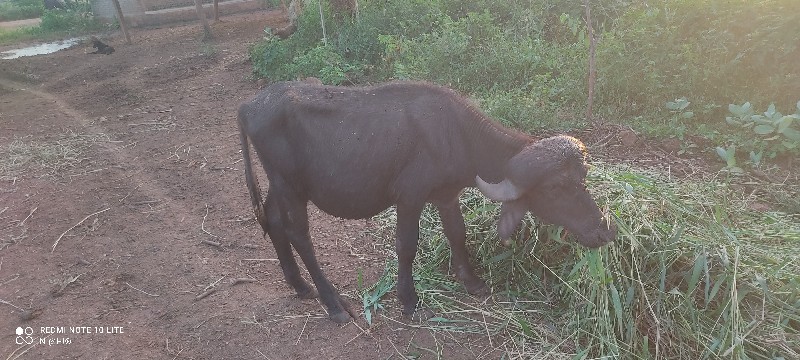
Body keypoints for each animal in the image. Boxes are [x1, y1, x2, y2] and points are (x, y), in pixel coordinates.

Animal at [234, 81, 616, 324]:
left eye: (582, 179)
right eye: (556, 187)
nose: (604, 231)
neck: (456, 134)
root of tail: (250, 105)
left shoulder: (446, 196)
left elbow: (457, 233)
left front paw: (471, 281)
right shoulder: (410, 198)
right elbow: (407, 245)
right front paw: (409, 300)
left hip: (279, 185)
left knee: (273, 220)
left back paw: (300, 286)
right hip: (290, 186)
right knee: (298, 234)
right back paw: (333, 304)